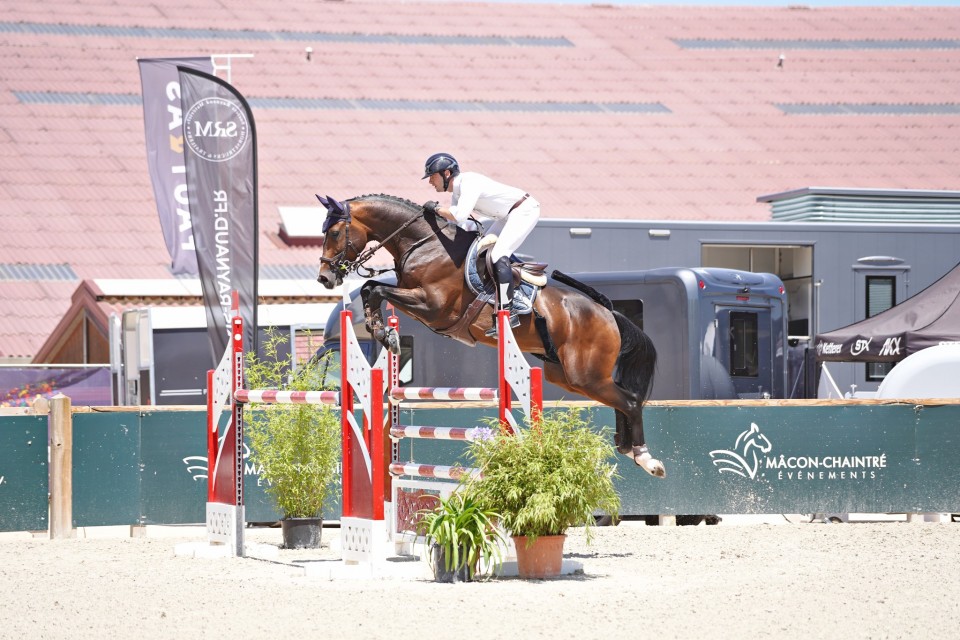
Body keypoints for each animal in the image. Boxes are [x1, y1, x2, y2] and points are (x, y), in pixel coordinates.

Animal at [316, 192, 668, 478]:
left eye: (333, 232)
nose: (324, 279)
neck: (424, 244)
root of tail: (610, 315)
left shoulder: (433, 305)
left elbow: (375, 288)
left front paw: (383, 332)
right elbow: (370, 288)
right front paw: (382, 331)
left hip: (586, 374)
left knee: (631, 400)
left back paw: (646, 458)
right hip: (567, 376)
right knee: (622, 398)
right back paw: (627, 448)